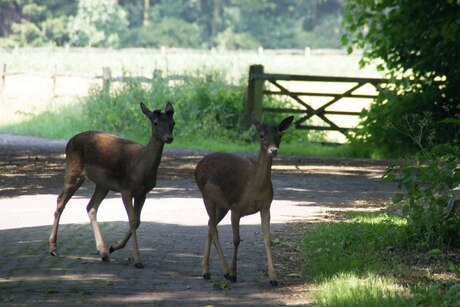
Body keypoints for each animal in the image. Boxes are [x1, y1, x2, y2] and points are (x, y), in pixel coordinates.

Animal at [48, 102, 174, 268]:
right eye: (155, 122)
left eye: (173, 122)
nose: (169, 137)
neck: (140, 168)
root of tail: (69, 141)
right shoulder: (126, 188)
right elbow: (133, 220)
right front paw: (137, 260)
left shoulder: (143, 192)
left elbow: (137, 221)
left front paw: (113, 247)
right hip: (73, 171)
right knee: (61, 200)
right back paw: (53, 249)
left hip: (102, 184)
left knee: (91, 207)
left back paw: (103, 252)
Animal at [195, 114, 294, 288]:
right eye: (261, 135)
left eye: (280, 135)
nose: (273, 150)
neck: (253, 189)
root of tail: (196, 167)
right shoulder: (236, 207)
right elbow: (236, 240)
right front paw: (234, 274)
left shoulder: (266, 206)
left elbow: (267, 239)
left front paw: (273, 278)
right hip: (206, 196)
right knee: (213, 228)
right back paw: (225, 271)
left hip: (222, 205)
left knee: (209, 224)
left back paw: (206, 271)